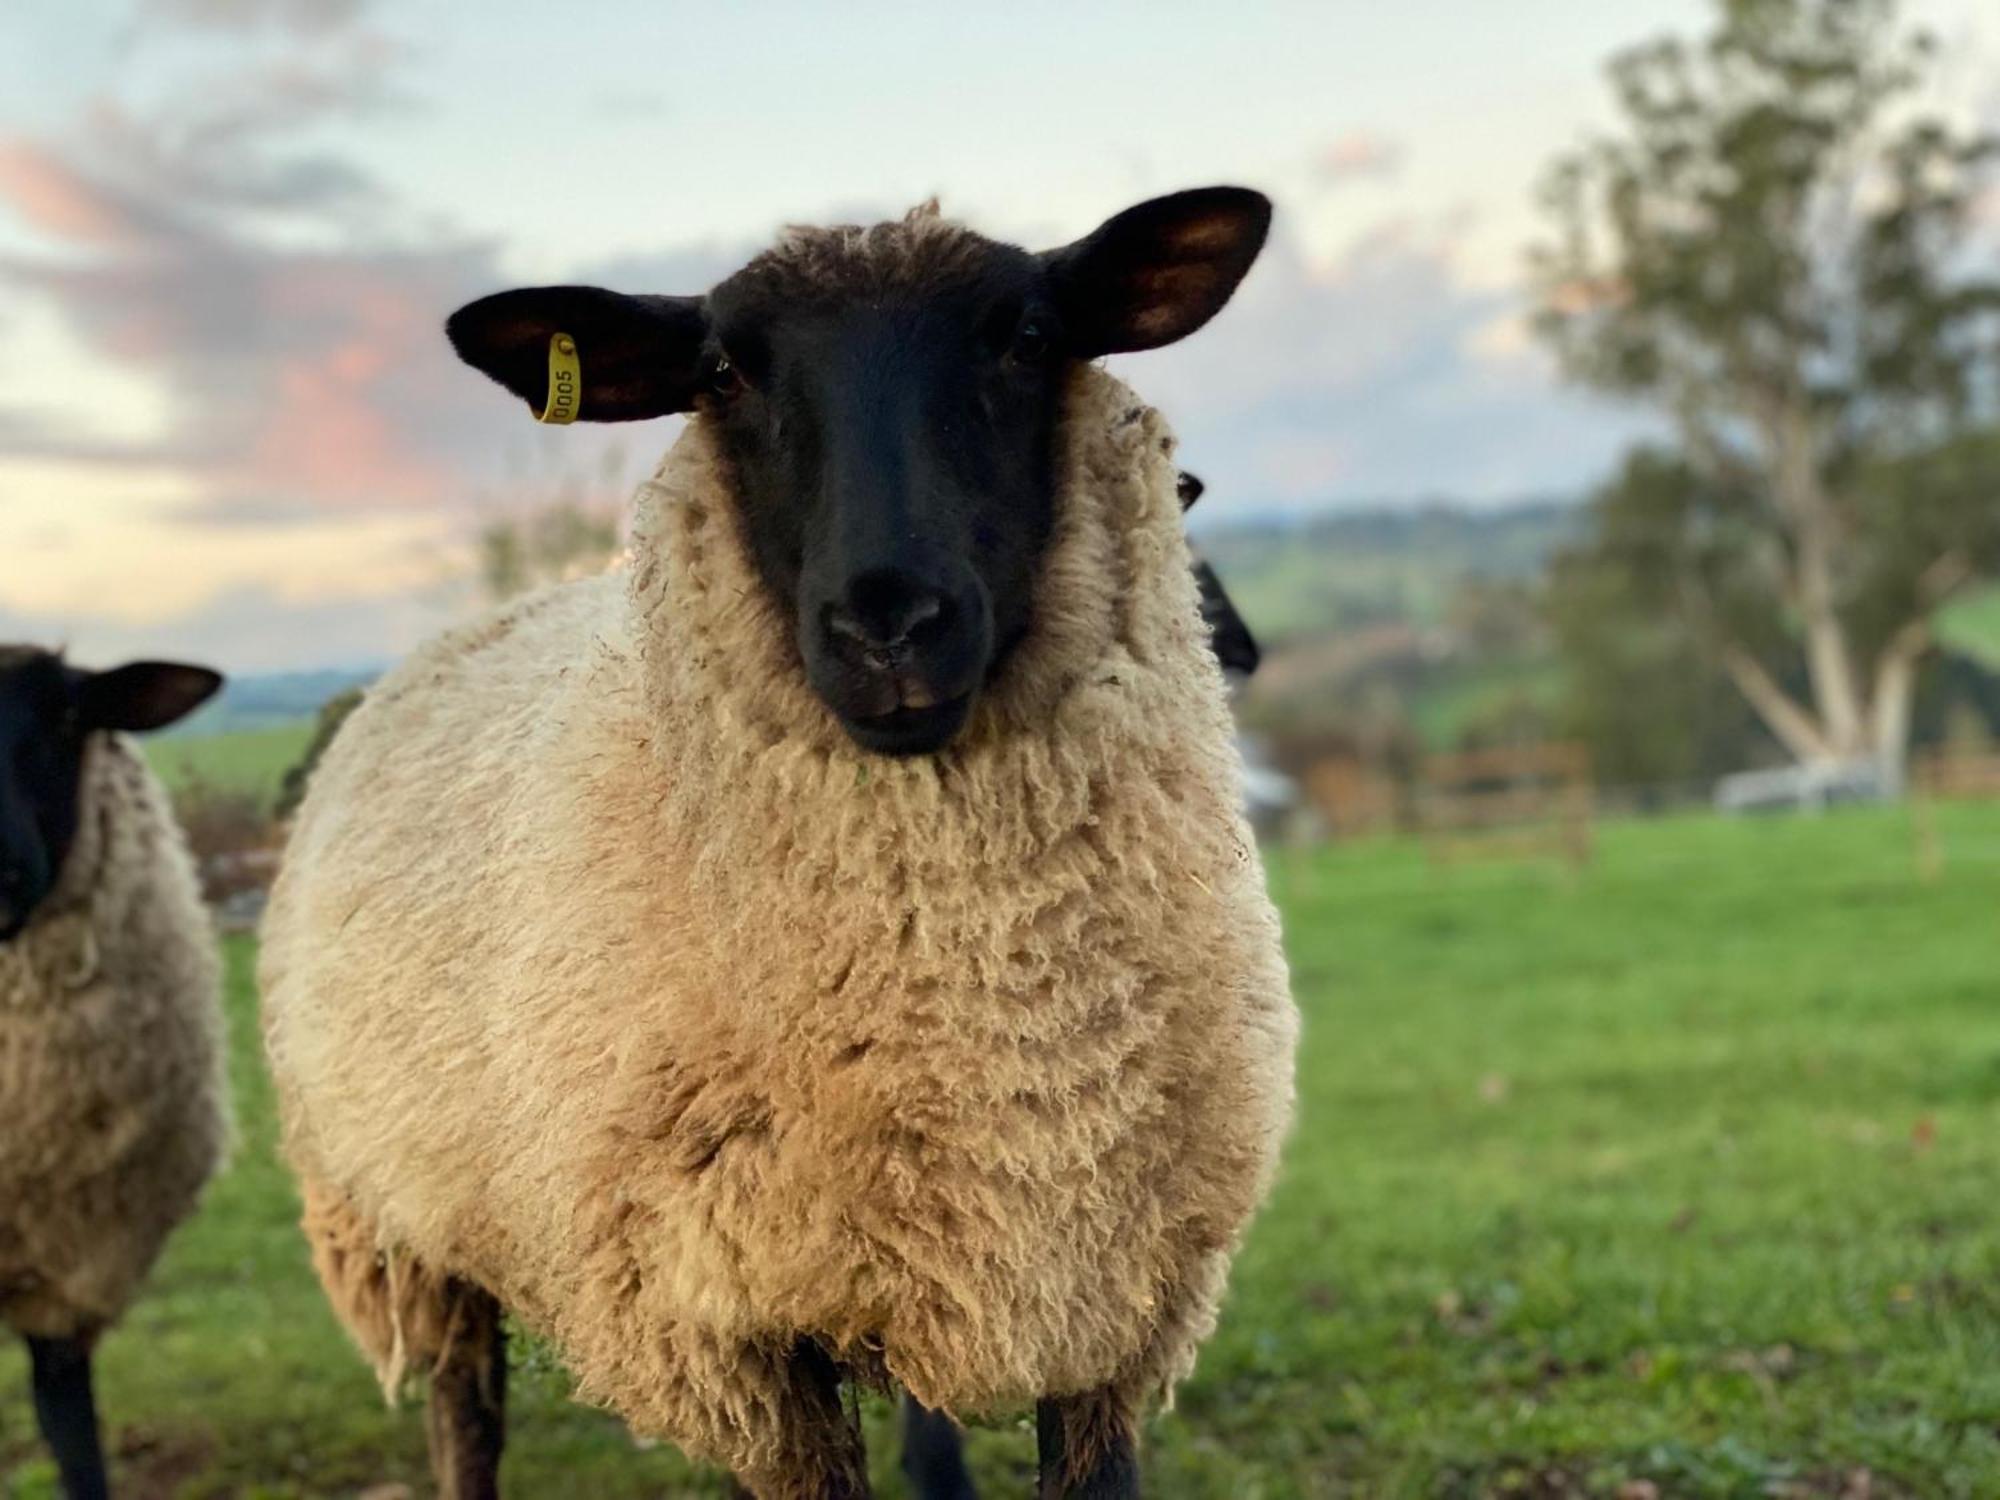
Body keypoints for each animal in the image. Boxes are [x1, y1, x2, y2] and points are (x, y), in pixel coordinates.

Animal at [262, 191, 1296, 1500]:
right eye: (720, 373)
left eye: (1026, 336)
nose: (887, 623)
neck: (995, 1020)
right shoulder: (737, 1335)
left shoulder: (1105, 1293)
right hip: (401, 1214)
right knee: (465, 1411)